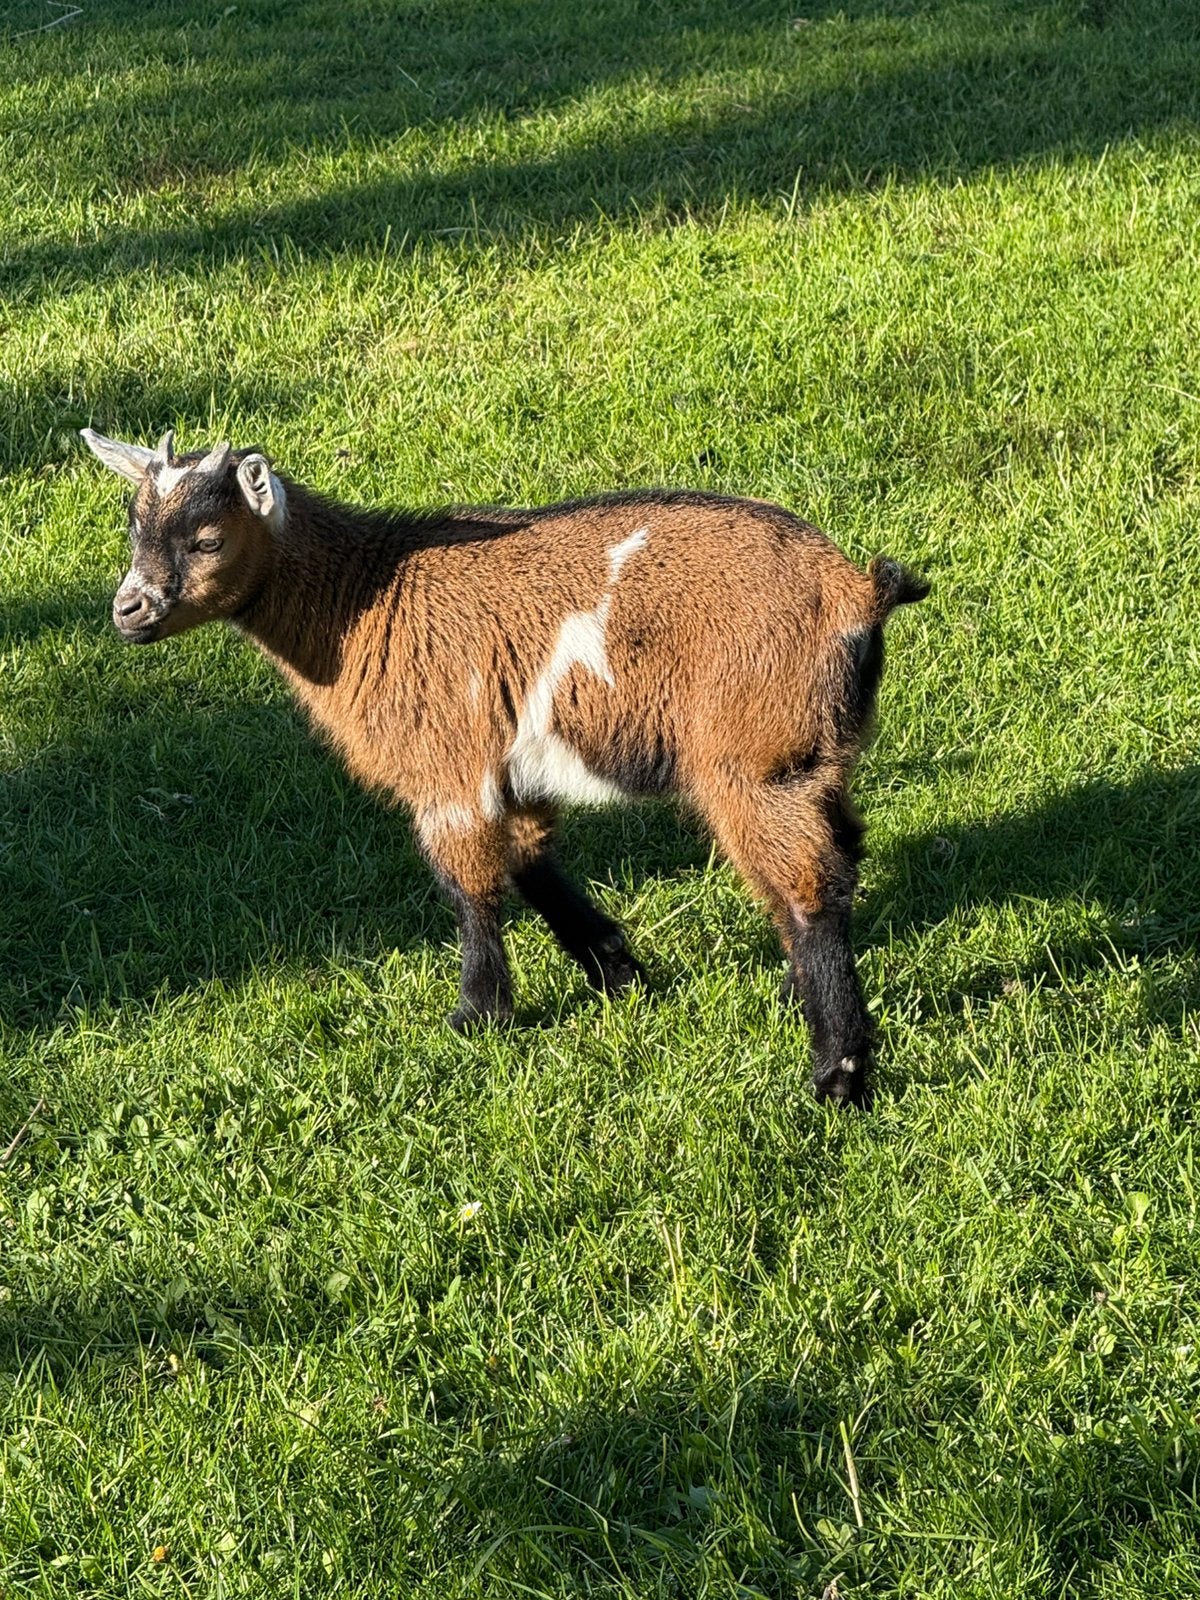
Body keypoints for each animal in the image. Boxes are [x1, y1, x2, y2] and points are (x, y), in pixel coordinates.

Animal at [81, 428, 928, 1107]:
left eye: (208, 539)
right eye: (134, 527)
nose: (129, 611)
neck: (364, 598)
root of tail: (853, 591)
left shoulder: (449, 764)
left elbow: (469, 886)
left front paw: (477, 1016)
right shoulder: (509, 766)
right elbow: (529, 860)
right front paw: (619, 974)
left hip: (750, 760)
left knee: (808, 886)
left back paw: (838, 1077)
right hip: (814, 750)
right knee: (841, 851)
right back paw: (792, 994)